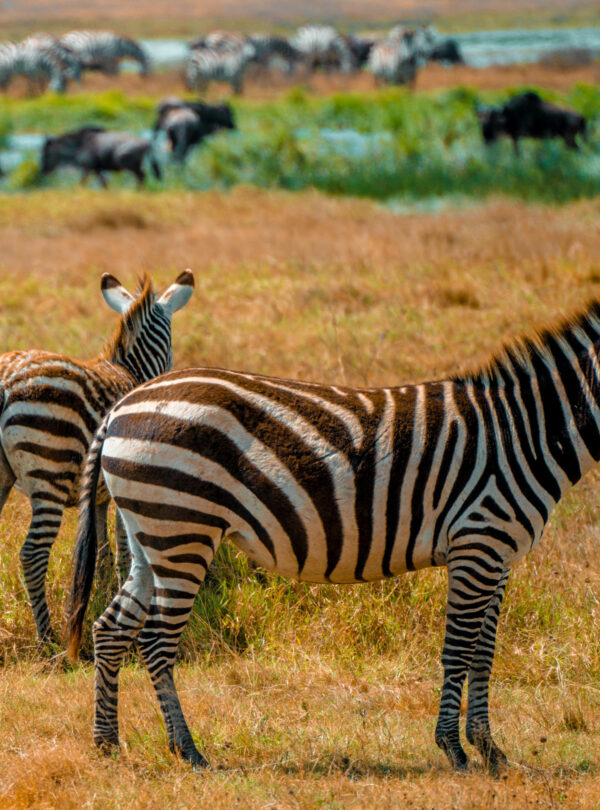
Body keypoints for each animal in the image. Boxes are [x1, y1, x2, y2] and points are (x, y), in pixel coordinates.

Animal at [0, 270, 193, 647]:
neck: (130, 370)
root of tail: (4, 384)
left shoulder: (101, 494)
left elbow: (101, 546)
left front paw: (102, 587)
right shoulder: (124, 482)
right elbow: (122, 547)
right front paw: (120, 586)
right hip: (50, 471)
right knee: (33, 556)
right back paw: (48, 639)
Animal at [67, 298, 600, 772]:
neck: (527, 431)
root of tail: (123, 404)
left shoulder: (500, 554)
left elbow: (483, 654)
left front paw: (490, 750)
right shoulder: (478, 543)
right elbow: (458, 650)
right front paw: (454, 748)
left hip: (150, 534)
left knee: (110, 628)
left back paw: (106, 742)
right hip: (183, 528)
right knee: (156, 641)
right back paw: (188, 750)